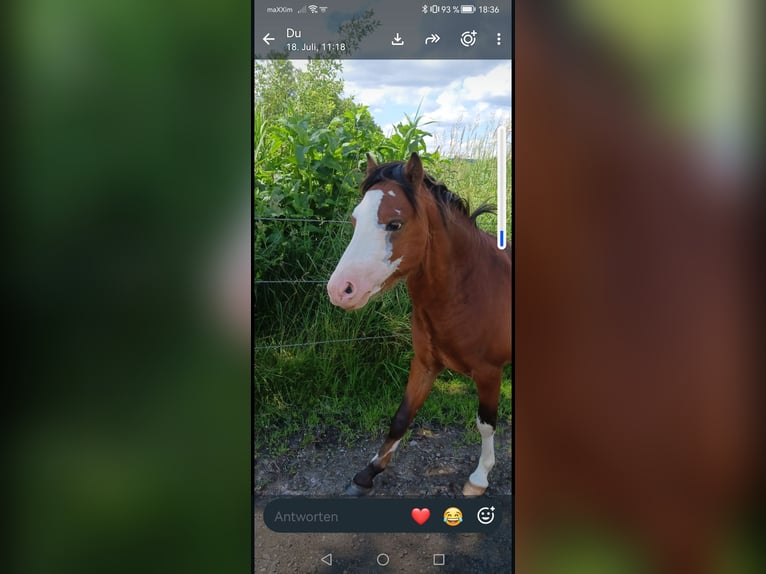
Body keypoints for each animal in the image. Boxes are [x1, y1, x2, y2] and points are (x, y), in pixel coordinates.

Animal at [326, 152, 512, 497]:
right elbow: (402, 416)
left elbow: (486, 424)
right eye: (355, 221)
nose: (340, 290)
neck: (470, 289)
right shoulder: (425, 364)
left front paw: (479, 478)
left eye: (395, 224)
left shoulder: (489, 373)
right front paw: (368, 473)